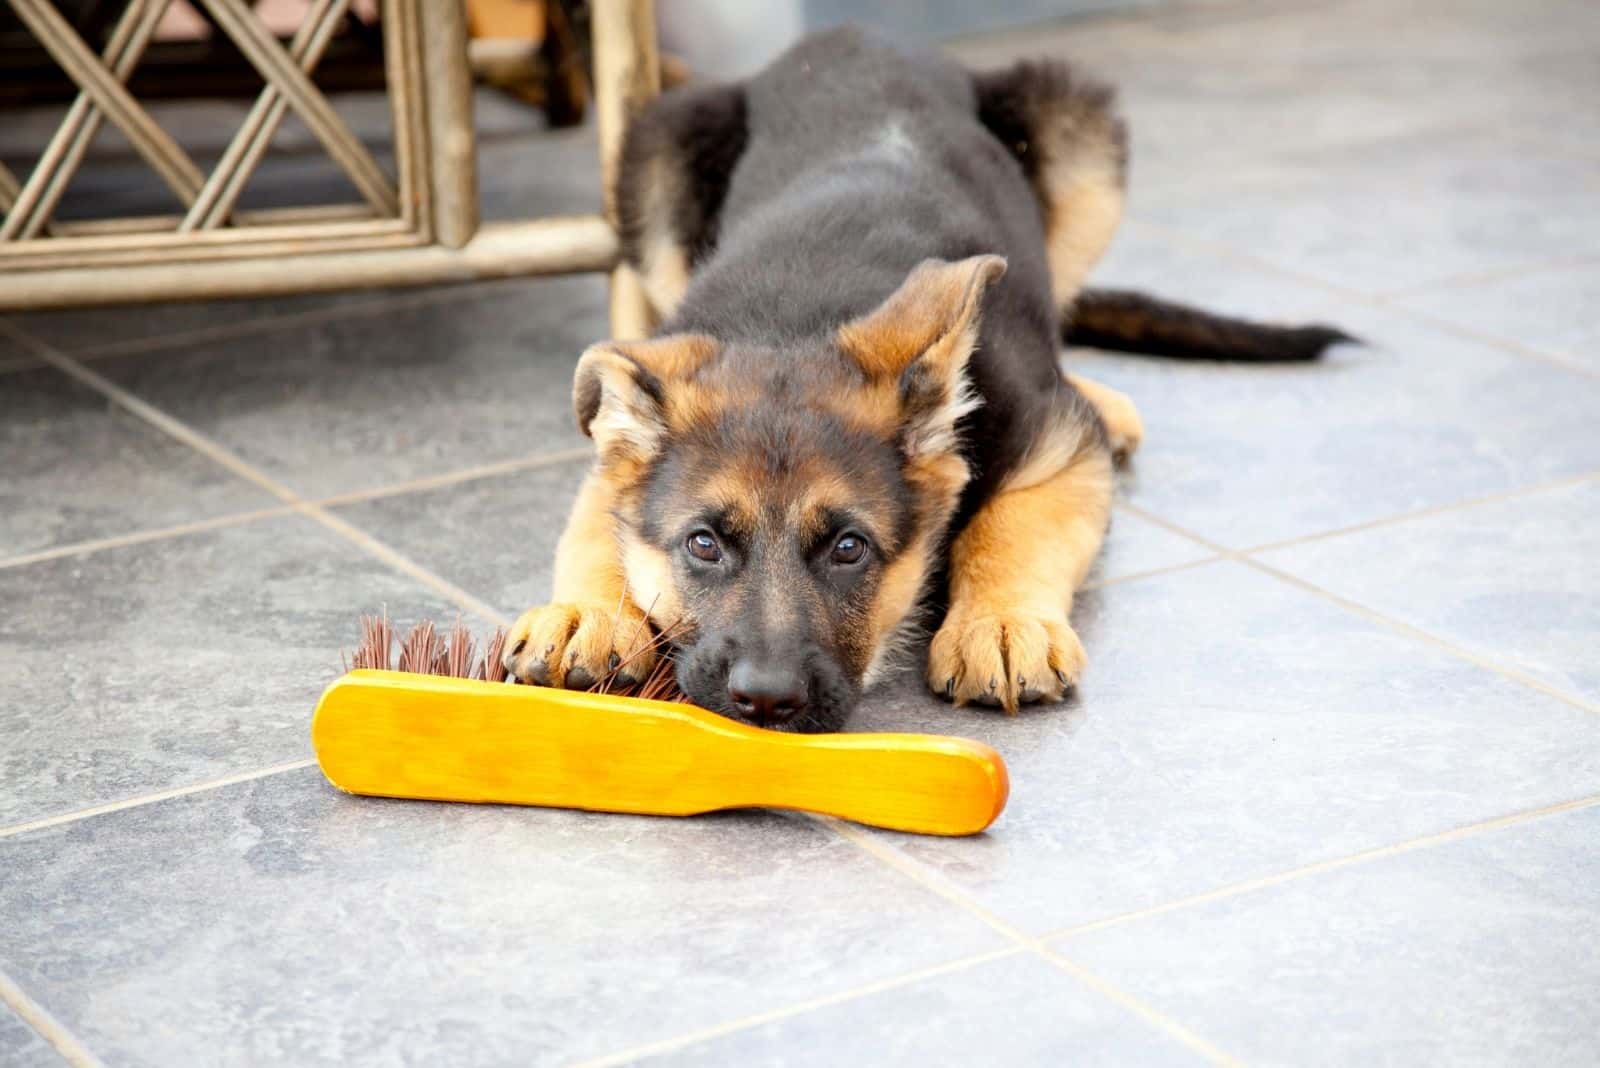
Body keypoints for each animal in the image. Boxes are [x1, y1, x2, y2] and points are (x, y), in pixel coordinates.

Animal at [502, 31, 1350, 735]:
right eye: (703, 545)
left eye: (849, 549)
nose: (767, 702)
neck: (798, 321)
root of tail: (858, 36)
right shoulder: (617, 444)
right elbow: (596, 524)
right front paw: (583, 614)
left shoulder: (1056, 444)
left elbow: (1009, 524)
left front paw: (1001, 624)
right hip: (659, 153)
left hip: (1078, 132)